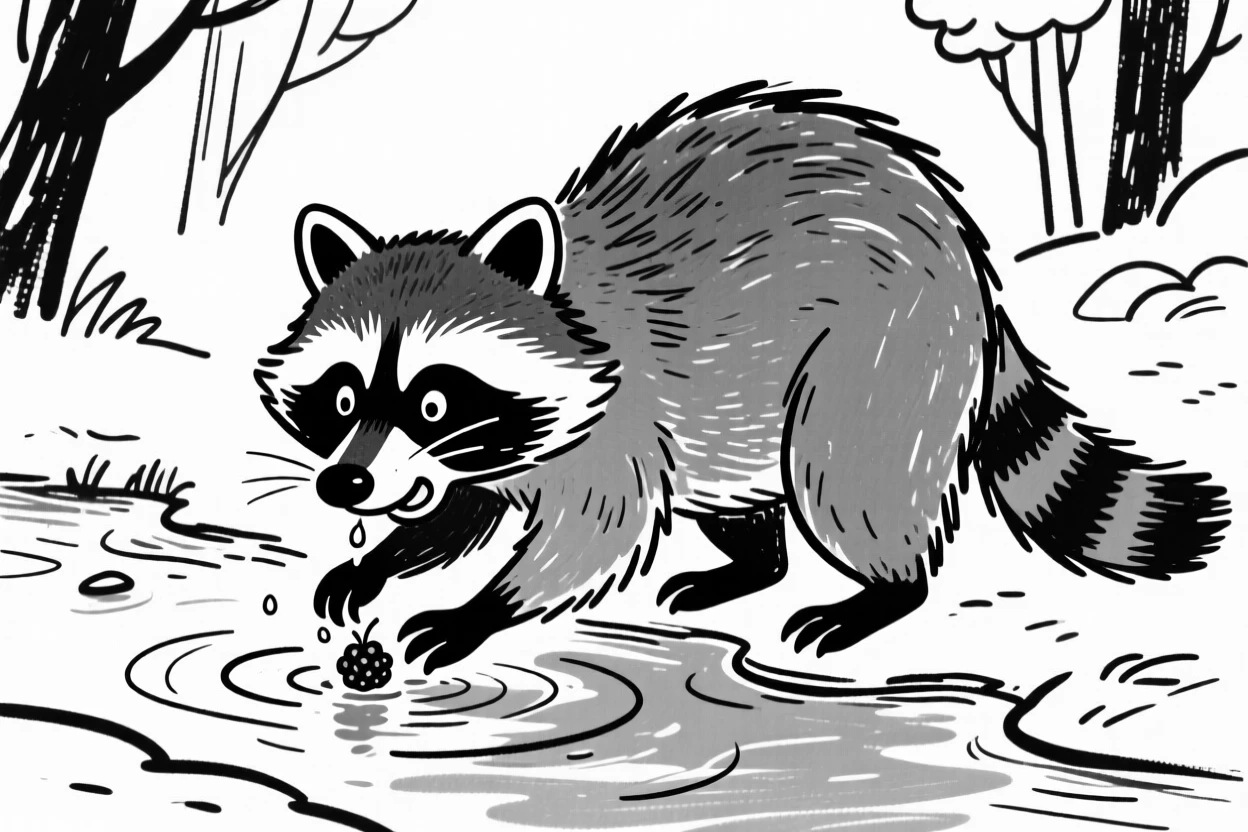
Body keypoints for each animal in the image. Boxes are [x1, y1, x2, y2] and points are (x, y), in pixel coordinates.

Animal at [257, 82, 1230, 673]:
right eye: (342, 394)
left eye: (432, 397)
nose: (348, 486)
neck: (566, 310)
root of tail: (973, 273)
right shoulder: (498, 448)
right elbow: (462, 510)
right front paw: (381, 560)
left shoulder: (614, 420)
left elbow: (590, 533)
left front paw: (477, 610)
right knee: (739, 483)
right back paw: (752, 564)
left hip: (883, 351)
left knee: (843, 469)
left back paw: (883, 590)